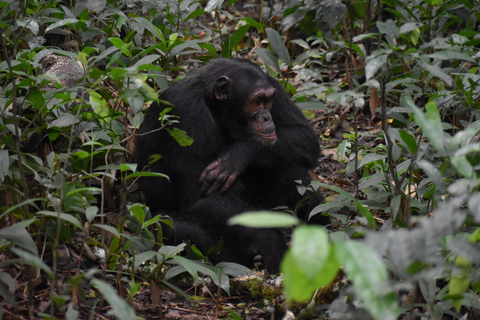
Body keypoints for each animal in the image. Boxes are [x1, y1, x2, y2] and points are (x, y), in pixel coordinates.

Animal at [137, 58, 328, 272]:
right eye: (257, 101)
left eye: (268, 100)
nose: (266, 117)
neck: (213, 105)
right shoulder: (185, 114)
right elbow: (199, 199)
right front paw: (272, 248)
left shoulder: (274, 85)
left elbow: (304, 135)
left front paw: (237, 155)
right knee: (175, 227)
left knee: (288, 167)